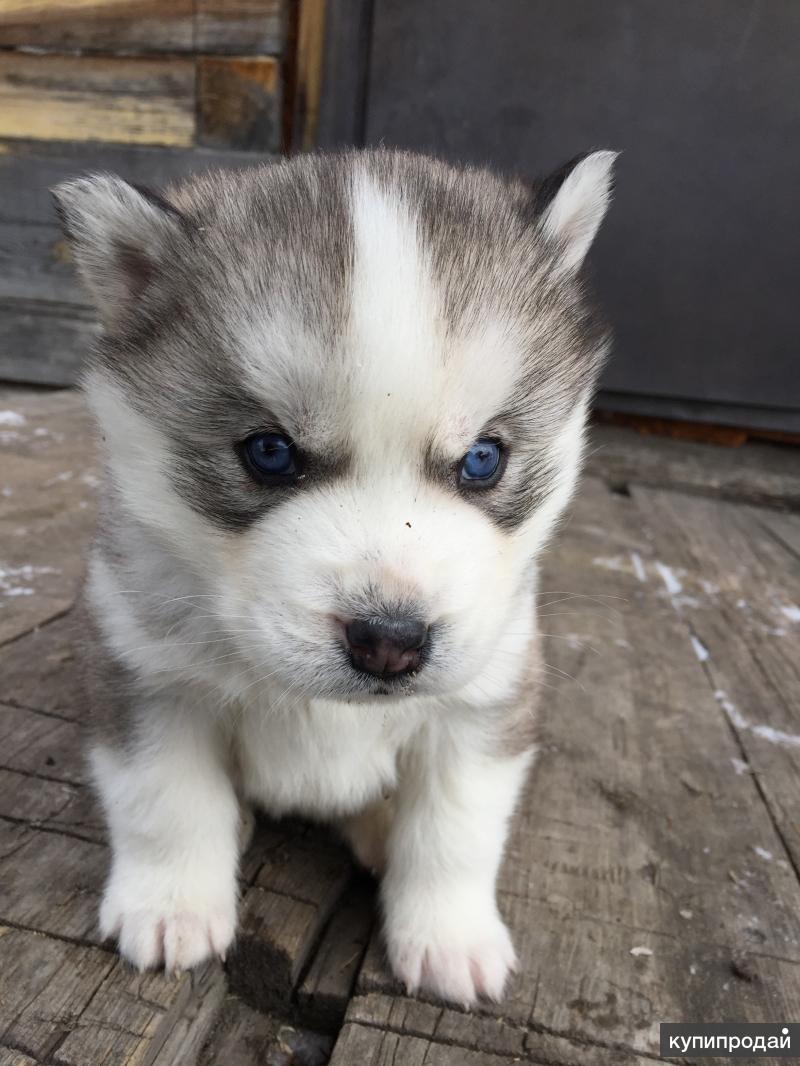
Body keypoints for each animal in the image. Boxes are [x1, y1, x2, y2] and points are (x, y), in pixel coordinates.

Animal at [53, 150, 618, 1006]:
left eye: (484, 459)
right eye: (268, 452)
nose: (391, 641)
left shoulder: (486, 698)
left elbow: (455, 829)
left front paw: (449, 936)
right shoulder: (143, 673)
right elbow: (165, 799)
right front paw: (171, 904)